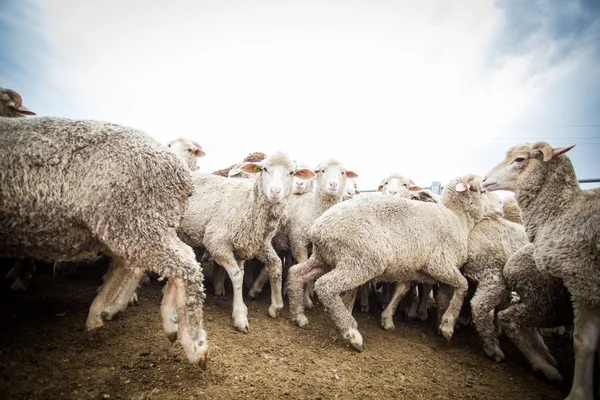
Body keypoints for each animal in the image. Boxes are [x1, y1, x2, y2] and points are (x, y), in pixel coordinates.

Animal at [176, 151, 314, 332]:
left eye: (291, 172)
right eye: (264, 169)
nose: (275, 191)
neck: (248, 204)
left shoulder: (255, 245)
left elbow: (276, 265)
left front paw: (275, 306)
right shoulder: (217, 244)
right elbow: (237, 277)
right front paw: (240, 316)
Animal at [288, 174, 486, 350]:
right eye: (481, 190)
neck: (459, 219)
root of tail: (318, 226)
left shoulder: (411, 269)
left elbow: (403, 290)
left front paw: (388, 318)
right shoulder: (439, 264)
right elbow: (463, 285)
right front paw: (447, 326)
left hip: (325, 258)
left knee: (295, 273)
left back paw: (299, 315)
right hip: (363, 260)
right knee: (325, 286)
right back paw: (352, 333)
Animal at [482, 141, 600, 400]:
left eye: (520, 159)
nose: (483, 180)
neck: (565, 212)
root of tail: (510, 266)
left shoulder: (584, 283)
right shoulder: (582, 284)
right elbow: (584, 342)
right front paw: (579, 393)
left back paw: (544, 359)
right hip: (545, 301)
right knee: (510, 318)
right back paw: (545, 366)